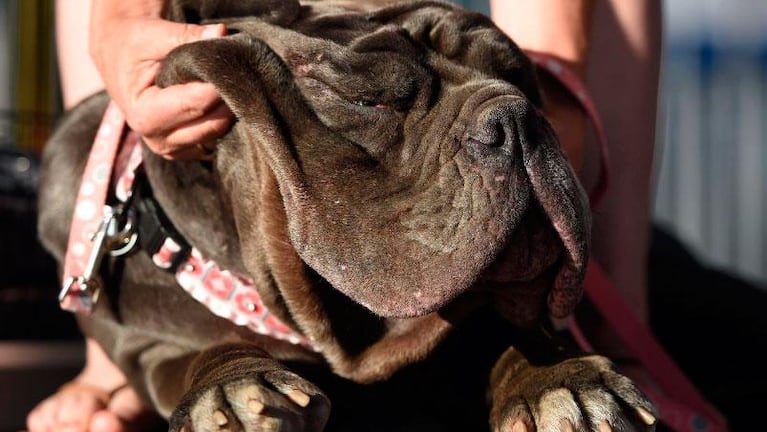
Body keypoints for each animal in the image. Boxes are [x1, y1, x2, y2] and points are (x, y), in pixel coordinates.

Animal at [39, 1, 656, 430]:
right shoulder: (151, 344)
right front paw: (234, 388)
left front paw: (563, 379)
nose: (517, 118)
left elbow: (506, 329)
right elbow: (201, 351)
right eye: (368, 100)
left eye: (526, 82)